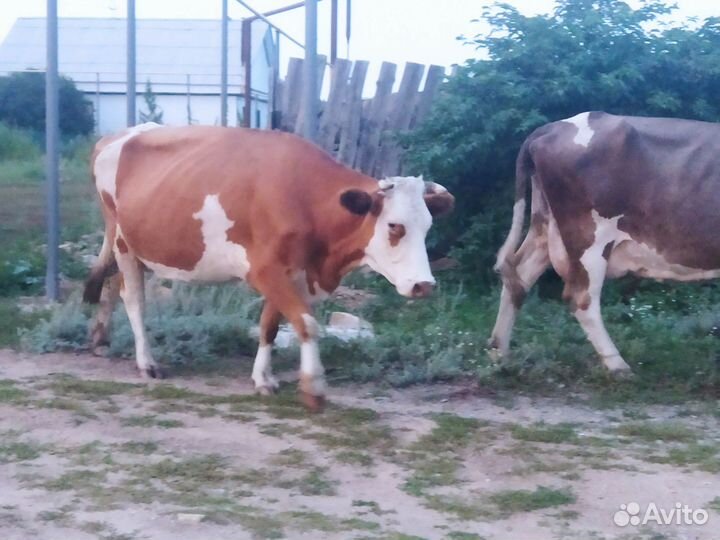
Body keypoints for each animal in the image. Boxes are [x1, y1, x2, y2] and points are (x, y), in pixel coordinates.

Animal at [83, 124, 454, 410]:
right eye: (394, 226)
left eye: (428, 226)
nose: (424, 285)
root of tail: (116, 136)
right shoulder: (265, 269)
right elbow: (306, 324)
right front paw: (313, 387)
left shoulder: (292, 273)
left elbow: (270, 326)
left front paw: (263, 378)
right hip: (124, 242)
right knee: (134, 300)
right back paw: (146, 362)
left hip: (131, 245)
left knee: (113, 286)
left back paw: (100, 339)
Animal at [490, 111, 720, 374]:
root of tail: (553, 127)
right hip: (589, 238)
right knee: (580, 298)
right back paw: (617, 365)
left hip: (546, 226)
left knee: (518, 275)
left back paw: (500, 353)